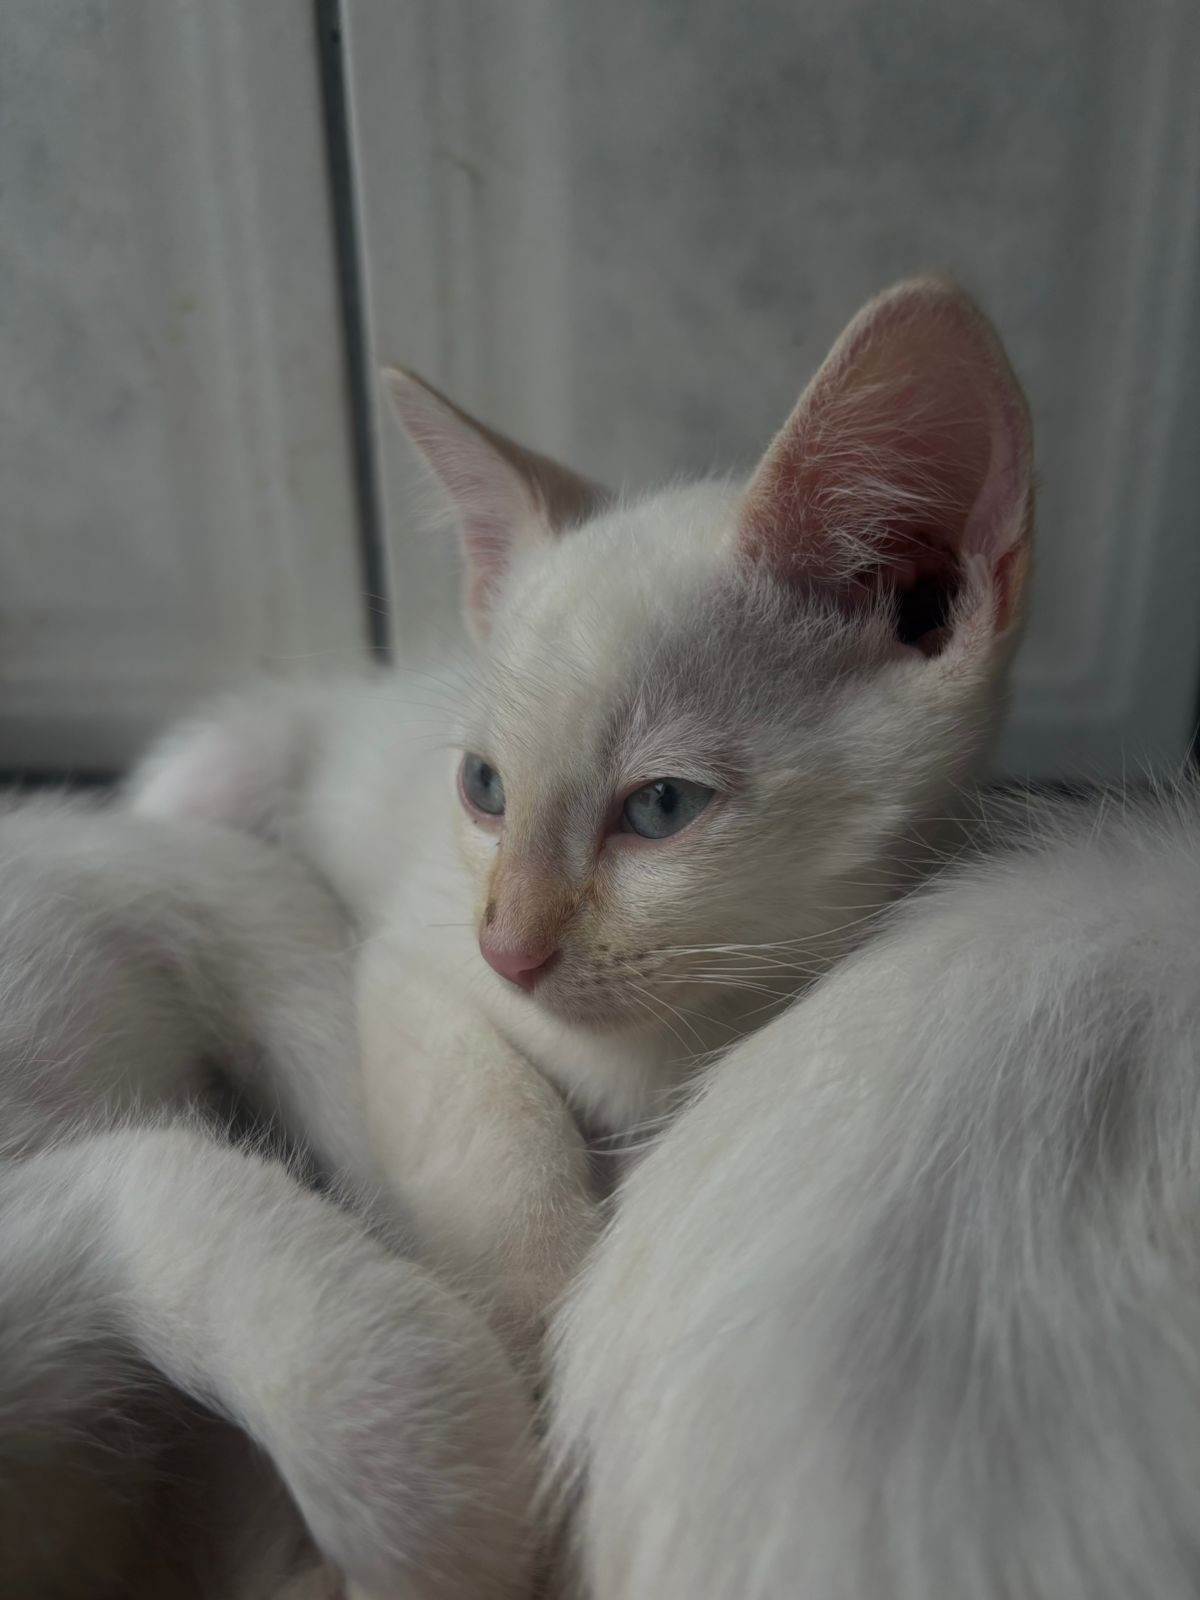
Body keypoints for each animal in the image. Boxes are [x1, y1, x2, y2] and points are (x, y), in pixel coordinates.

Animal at [129, 275, 1034, 1354]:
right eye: (485, 788)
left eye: (662, 806)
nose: (508, 952)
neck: (653, 1050)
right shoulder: (410, 960)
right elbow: (493, 1122)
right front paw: (533, 1330)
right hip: (221, 770)